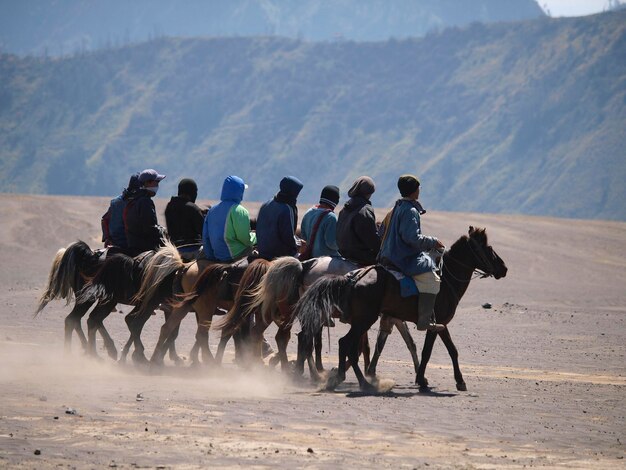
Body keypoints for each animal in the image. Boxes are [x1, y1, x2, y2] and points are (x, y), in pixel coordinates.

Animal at [294, 227, 508, 392]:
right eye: (488, 248)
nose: (504, 269)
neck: (446, 282)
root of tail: (352, 278)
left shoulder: (432, 323)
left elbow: (446, 349)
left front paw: (455, 381)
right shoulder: (433, 323)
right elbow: (427, 351)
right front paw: (424, 380)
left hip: (354, 320)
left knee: (329, 342)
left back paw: (330, 377)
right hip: (362, 319)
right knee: (340, 343)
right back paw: (353, 381)